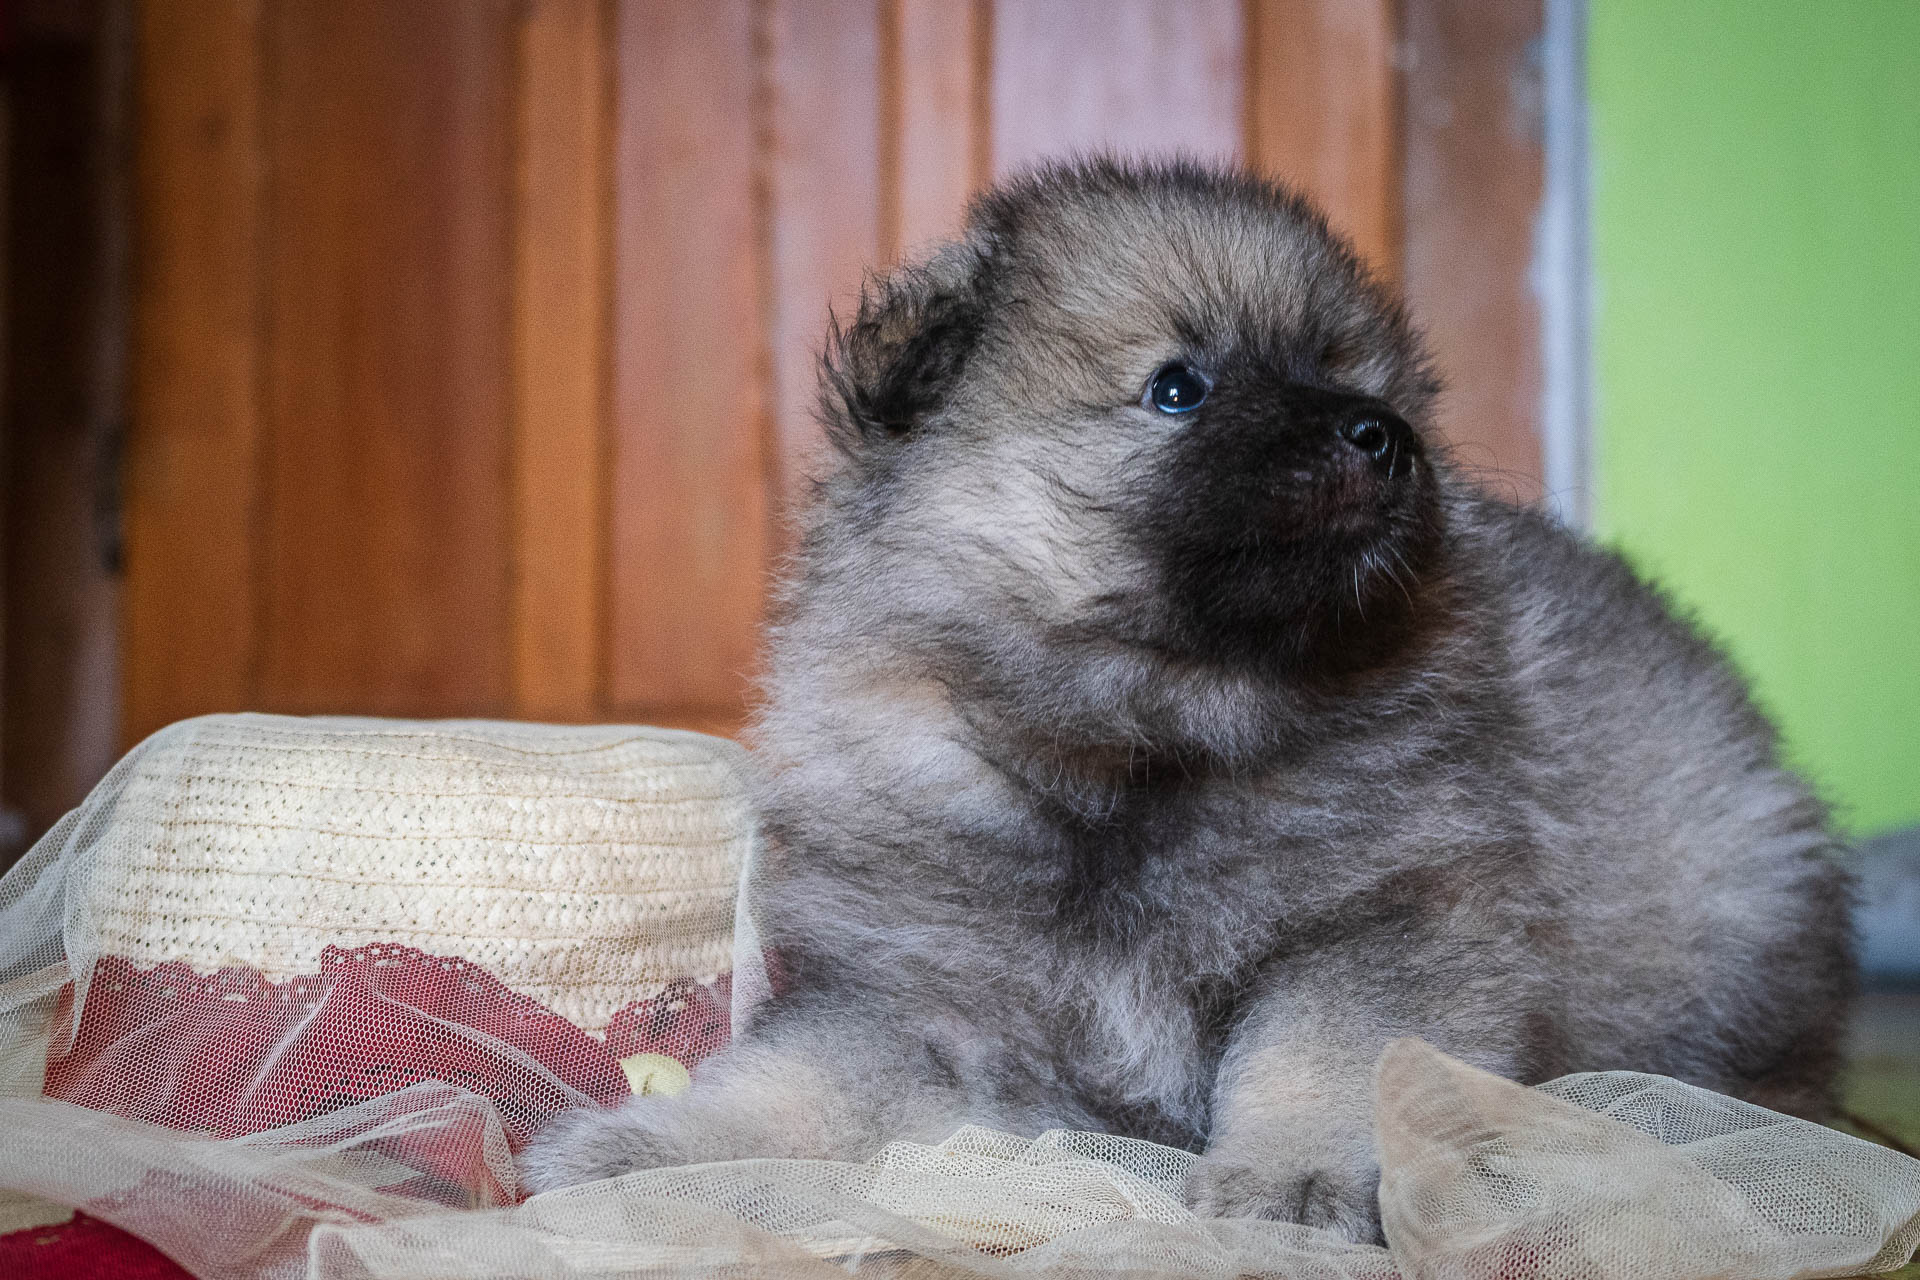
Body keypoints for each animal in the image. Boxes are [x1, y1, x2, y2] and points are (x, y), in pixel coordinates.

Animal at [526, 157, 1858, 1243]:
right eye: (1180, 388)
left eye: (1348, 375)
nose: (1382, 435)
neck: (1146, 741)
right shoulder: (916, 999)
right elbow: (786, 1087)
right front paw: (644, 1151)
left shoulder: (1380, 924)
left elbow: (1327, 1061)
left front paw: (1297, 1180)